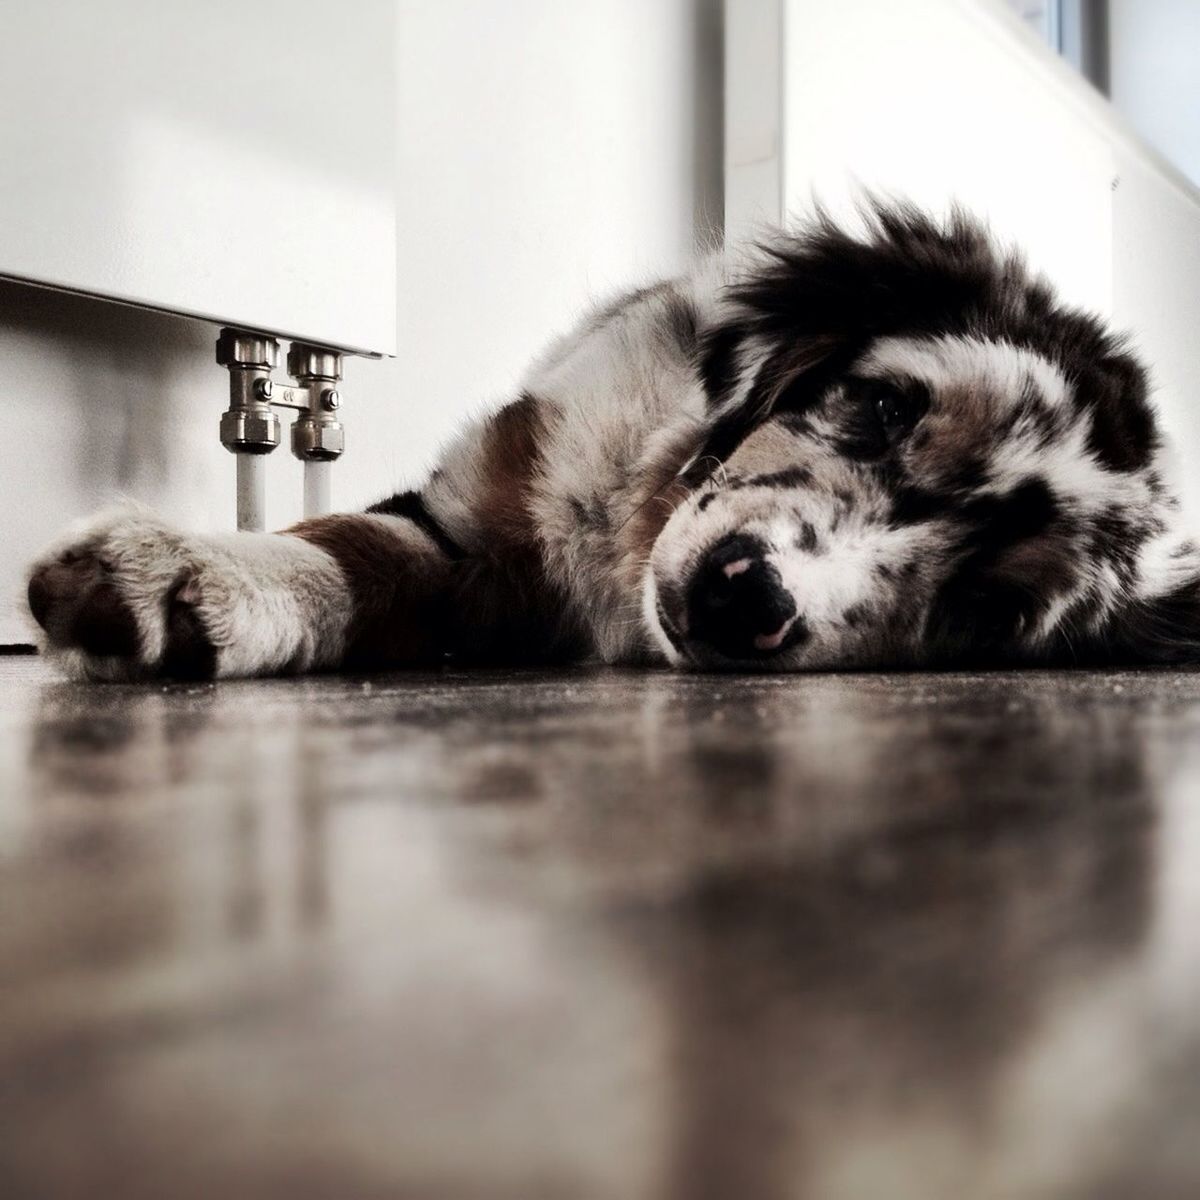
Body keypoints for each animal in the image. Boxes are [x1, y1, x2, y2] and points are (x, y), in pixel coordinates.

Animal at [21, 201, 1200, 681]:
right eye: (876, 407)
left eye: (981, 614)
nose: (747, 597)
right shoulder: (467, 513)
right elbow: (348, 550)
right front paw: (183, 574)